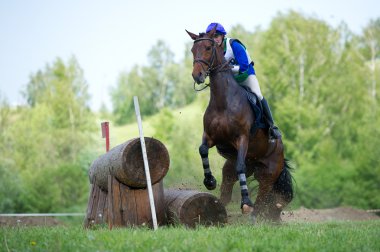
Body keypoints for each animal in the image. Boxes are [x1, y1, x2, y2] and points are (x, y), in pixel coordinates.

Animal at [186, 26, 294, 222]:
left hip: (268, 174)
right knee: (227, 191)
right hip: (232, 169)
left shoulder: (242, 138)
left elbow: (240, 166)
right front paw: (209, 181)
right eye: (192, 50)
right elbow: (203, 149)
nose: (197, 75)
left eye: (208, 48)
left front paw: (245, 202)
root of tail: (282, 153)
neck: (223, 102)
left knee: (261, 199)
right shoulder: (210, 136)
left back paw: (253, 215)